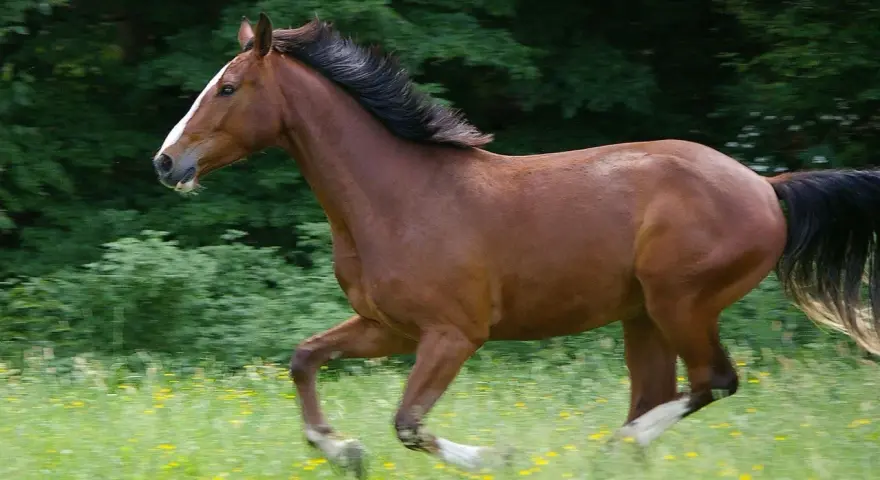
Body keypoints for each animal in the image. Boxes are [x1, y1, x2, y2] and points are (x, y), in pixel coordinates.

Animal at [151, 13, 880, 478]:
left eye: (228, 87)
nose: (166, 163)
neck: (399, 197)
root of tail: (765, 186)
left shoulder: (453, 334)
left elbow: (409, 423)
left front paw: (496, 457)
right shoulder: (388, 328)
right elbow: (304, 359)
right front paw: (343, 451)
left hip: (682, 303)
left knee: (712, 383)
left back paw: (606, 448)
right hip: (642, 316)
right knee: (664, 394)